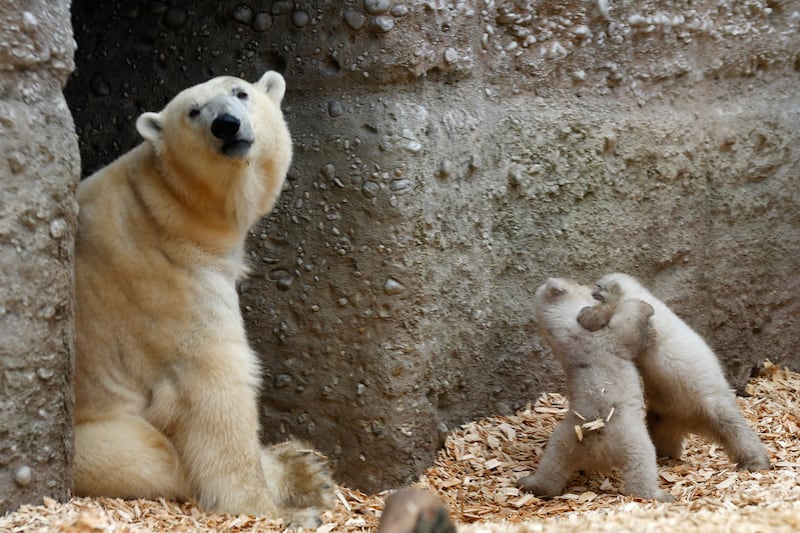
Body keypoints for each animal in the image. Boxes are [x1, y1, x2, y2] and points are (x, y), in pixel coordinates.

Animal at [74, 72, 334, 524]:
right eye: (194, 111)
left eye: (240, 92)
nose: (226, 125)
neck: (167, 209)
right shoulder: (165, 279)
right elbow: (213, 384)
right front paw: (276, 514)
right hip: (93, 435)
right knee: (153, 457)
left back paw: (304, 467)